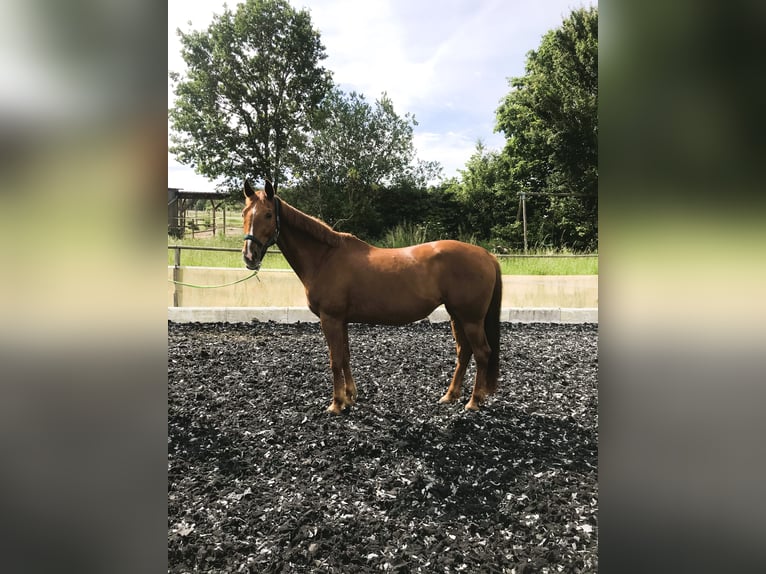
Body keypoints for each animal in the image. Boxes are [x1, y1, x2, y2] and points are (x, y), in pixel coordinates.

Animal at [242, 180, 504, 414]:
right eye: (245, 213)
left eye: (268, 215)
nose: (249, 256)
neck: (325, 258)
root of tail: (486, 255)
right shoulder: (341, 320)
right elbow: (345, 357)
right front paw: (350, 397)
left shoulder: (330, 319)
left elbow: (335, 360)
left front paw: (336, 404)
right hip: (457, 315)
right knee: (464, 352)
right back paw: (450, 396)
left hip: (471, 319)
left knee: (482, 353)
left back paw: (474, 401)